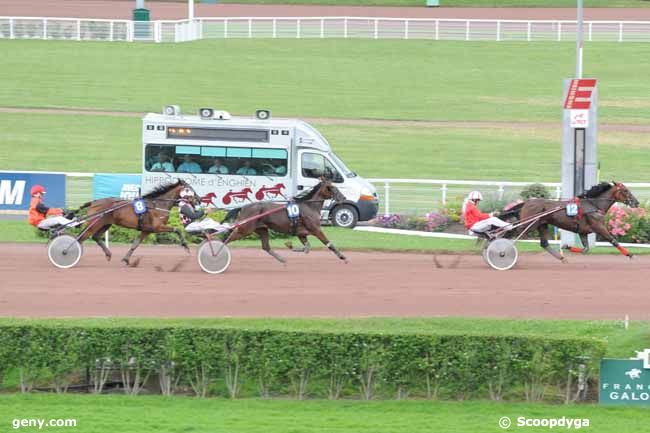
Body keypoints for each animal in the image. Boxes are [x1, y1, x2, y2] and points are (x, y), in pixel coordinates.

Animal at [504, 181, 636, 260]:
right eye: (625, 190)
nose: (636, 202)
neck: (594, 205)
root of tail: (527, 202)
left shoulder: (583, 232)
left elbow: (585, 249)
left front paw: (566, 246)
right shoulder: (599, 227)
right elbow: (613, 240)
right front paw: (629, 254)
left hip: (542, 225)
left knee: (544, 243)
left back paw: (561, 258)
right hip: (528, 225)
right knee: (510, 233)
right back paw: (501, 250)